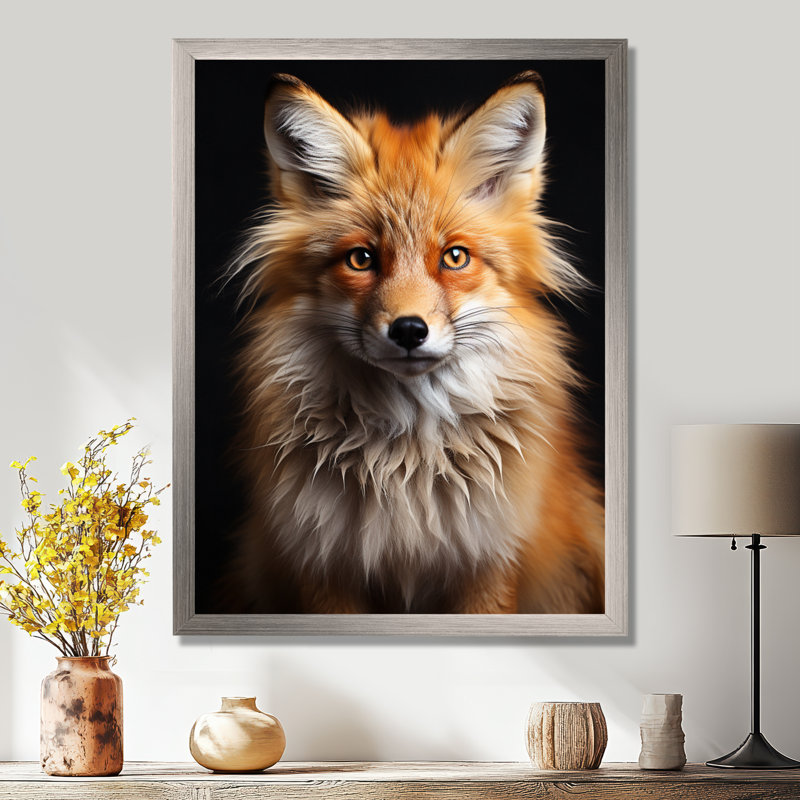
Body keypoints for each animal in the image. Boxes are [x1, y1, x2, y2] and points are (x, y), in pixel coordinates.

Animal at [224, 71, 604, 614]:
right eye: (361, 259)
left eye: (455, 257)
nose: (408, 330)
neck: (407, 465)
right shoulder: (321, 564)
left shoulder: (490, 562)